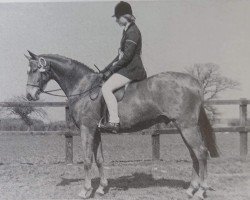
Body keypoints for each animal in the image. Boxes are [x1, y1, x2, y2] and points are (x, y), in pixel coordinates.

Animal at [24, 50, 218, 199]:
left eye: (34, 70)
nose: (29, 95)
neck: (83, 87)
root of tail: (194, 82)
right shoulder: (97, 131)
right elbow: (100, 159)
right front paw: (101, 188)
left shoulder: (87, 129)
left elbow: (87, 160)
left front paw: (85, 190)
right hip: (183, 127)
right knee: (194, 155)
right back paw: (191, 189)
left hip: (187, 127)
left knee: (201, 153)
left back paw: (201, 191)